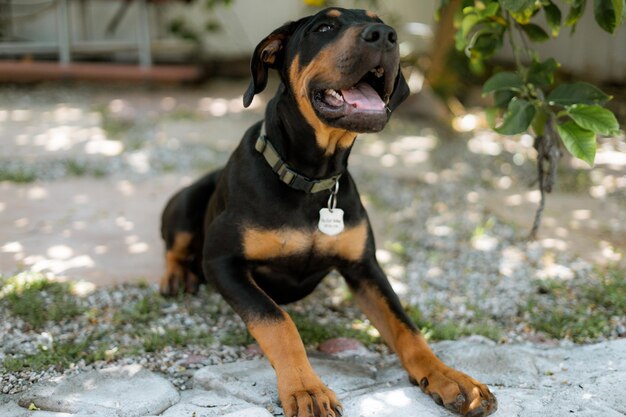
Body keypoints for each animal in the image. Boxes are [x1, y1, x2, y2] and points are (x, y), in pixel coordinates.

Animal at [160, 6, 498, 416]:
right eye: (323, 27)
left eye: (380, 22)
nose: (385, 36)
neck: (311, 178)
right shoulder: (222, 262)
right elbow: (277, 320)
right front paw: (306, 389)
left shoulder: (364, 267)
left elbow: (406, 327)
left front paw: (450, 378)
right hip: (187, 202)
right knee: (175, 245)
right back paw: (176, 276)